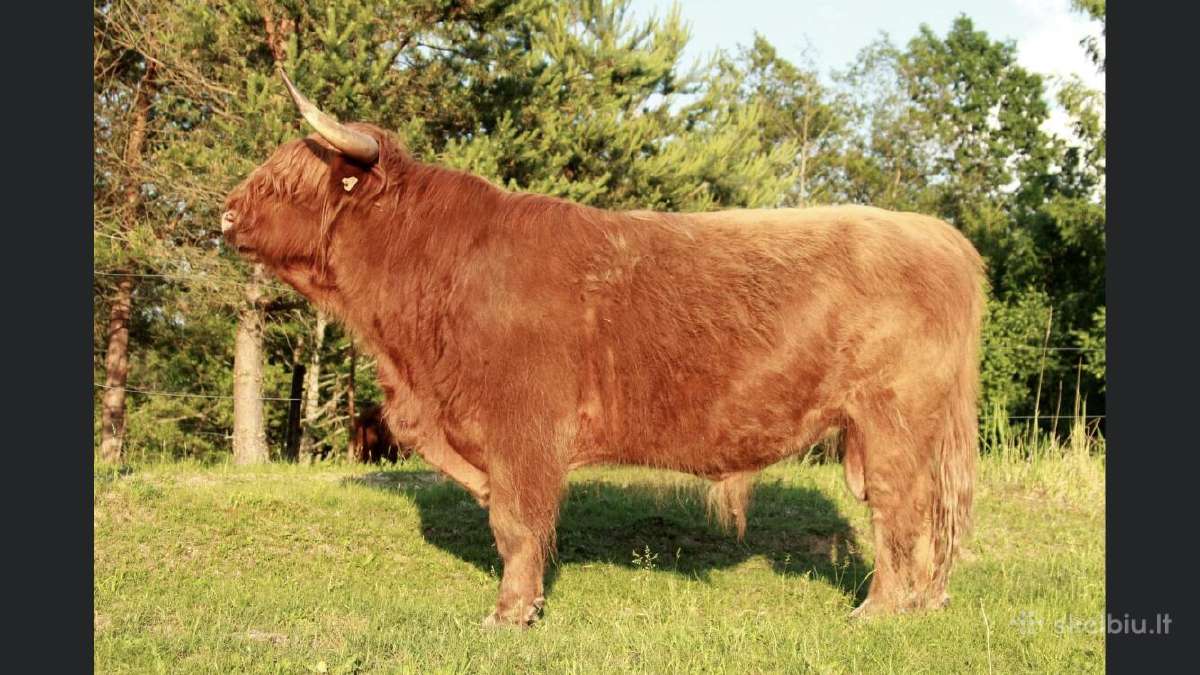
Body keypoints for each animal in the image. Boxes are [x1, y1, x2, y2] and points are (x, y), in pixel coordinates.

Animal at [221, 70, 985, 628]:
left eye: (288, 181)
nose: (225, 213)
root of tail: (940, 236)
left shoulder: (521, 429)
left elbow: (516, 524)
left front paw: (510, 614)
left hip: (893, 420)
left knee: (899, 509)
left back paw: (879, 610)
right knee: (919, 516)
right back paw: (921, 602)